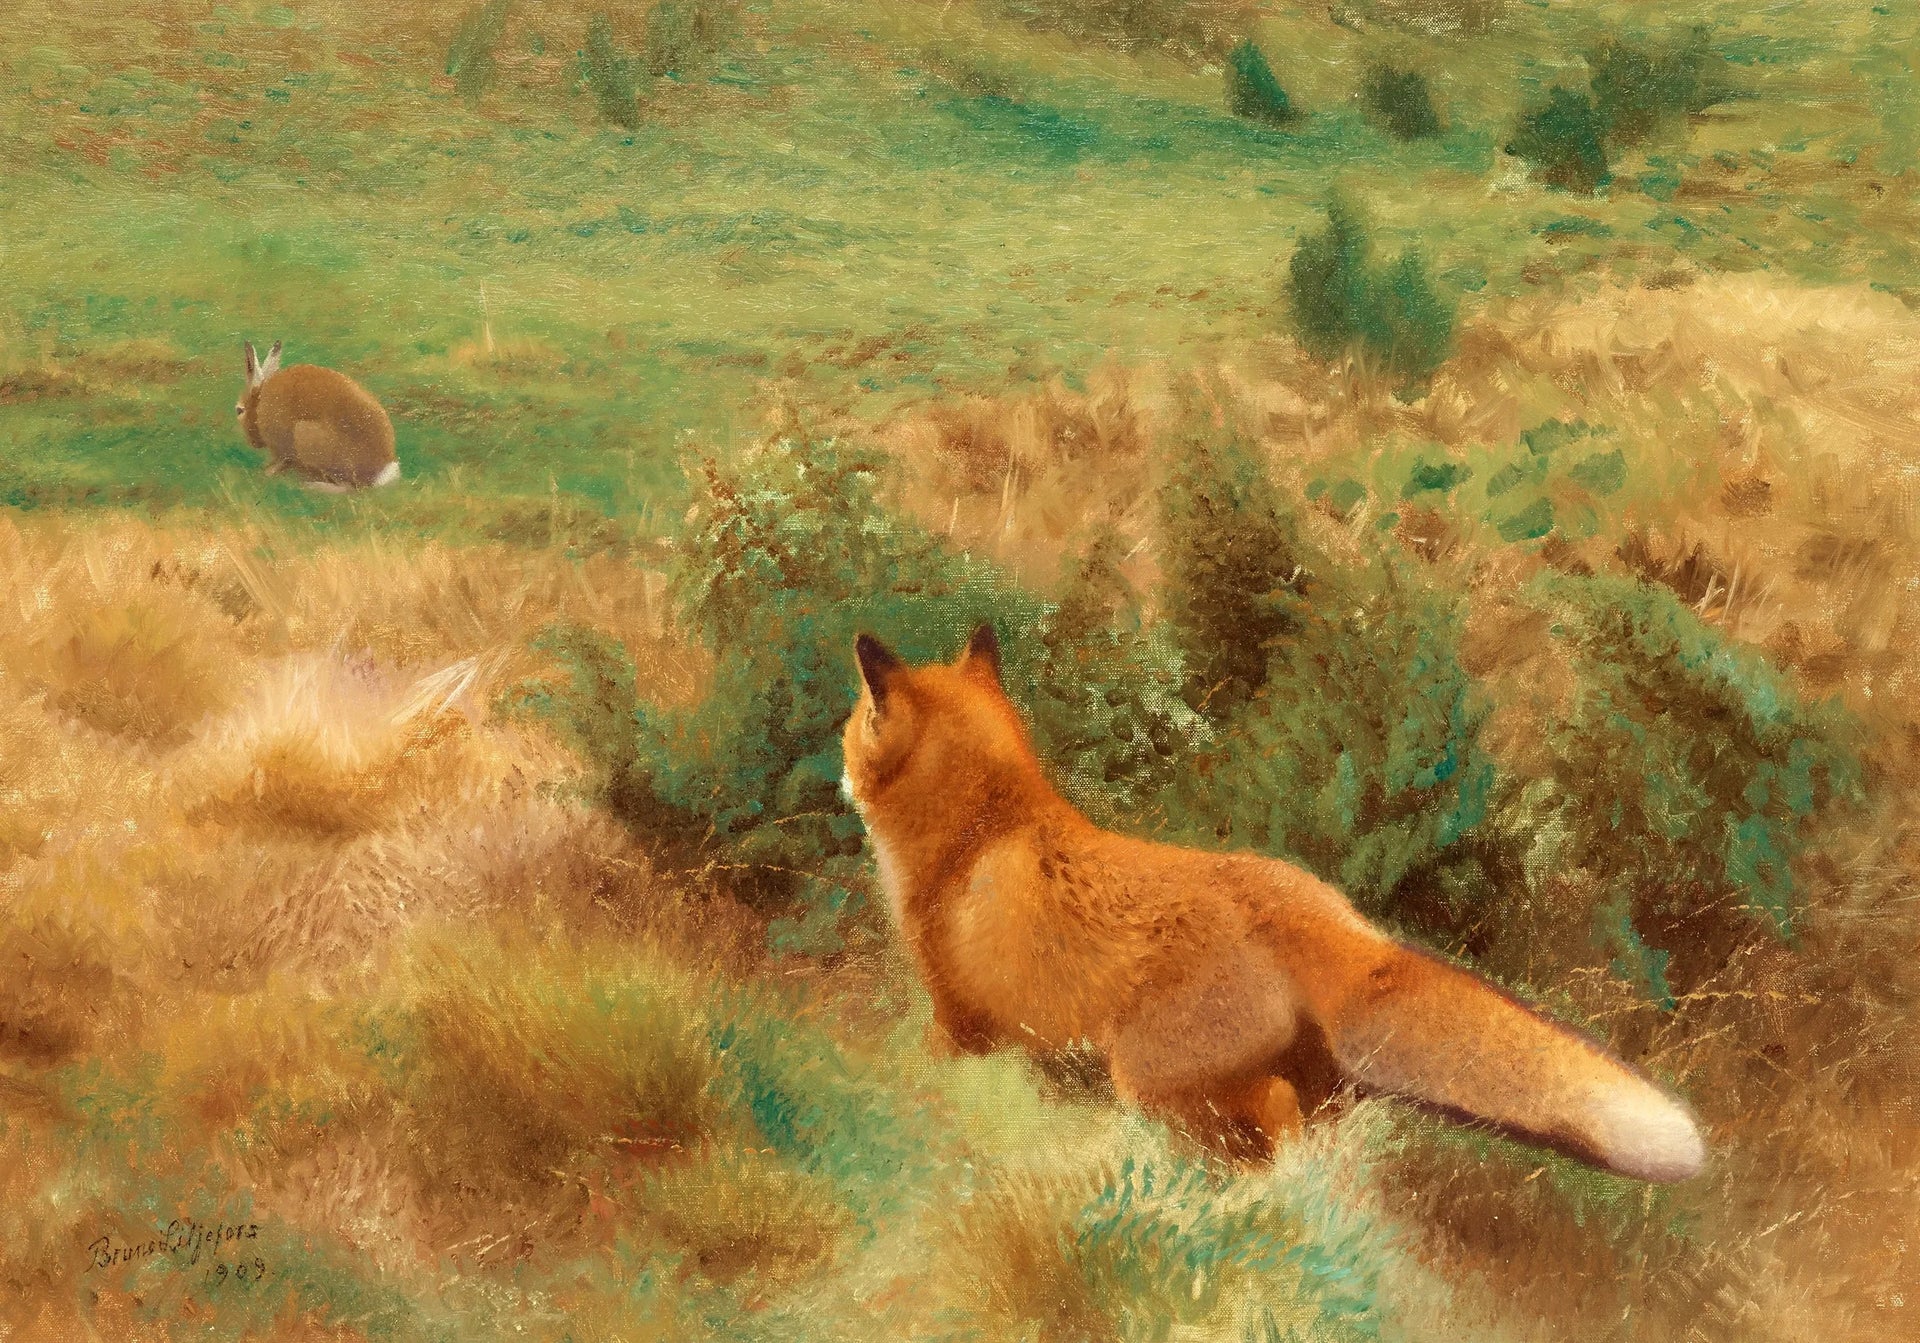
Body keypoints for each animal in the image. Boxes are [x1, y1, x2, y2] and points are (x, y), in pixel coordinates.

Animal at [236, 340, 401, 491]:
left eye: (239, 410)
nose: (252, 443)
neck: (259, 403)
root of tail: (380, 473)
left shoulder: (282, 445)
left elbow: (282, 460)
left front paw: (267, 473)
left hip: (306, 436)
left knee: (348, 488)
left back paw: (311, 486)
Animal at [840, 624, 1706, 1182]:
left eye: (851, 728)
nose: (837, 771)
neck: (982, 828)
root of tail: (1329, 917)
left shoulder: (958, 1019)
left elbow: (922, 1070)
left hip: (1150, 1078)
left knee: (1266, 1114)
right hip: (1297, 1082)